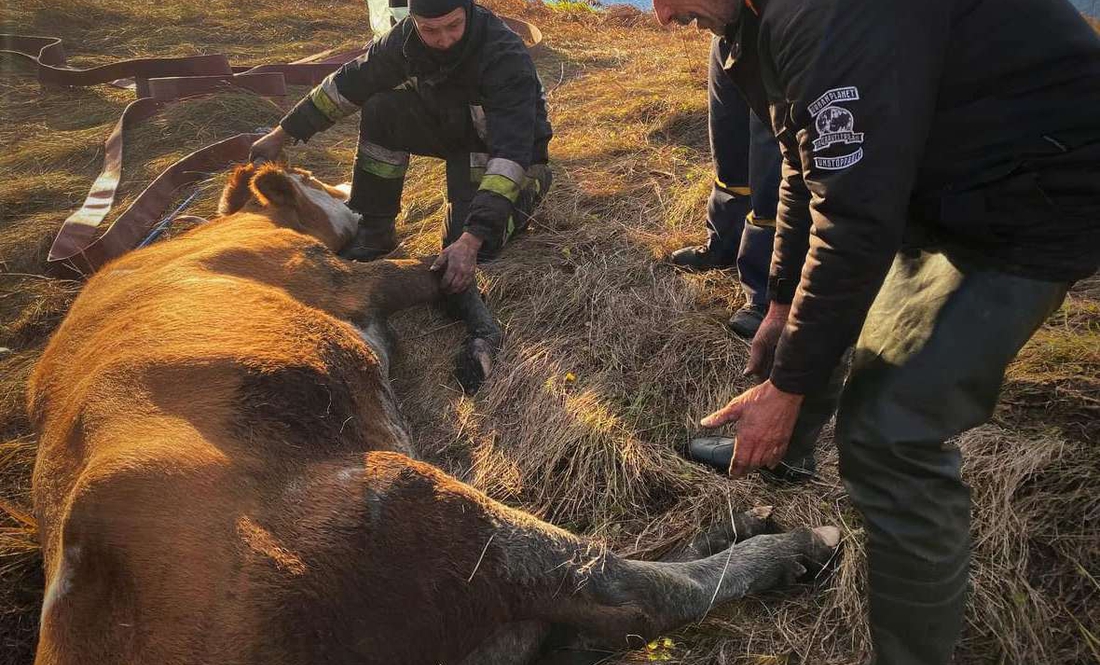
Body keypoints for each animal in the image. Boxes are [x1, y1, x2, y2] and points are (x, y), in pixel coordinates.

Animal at [25, 161, 836, 663]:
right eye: (309, 178)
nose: (350, 187)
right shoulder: (346, 278)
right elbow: (446, 270)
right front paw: (480, 342)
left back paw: (743, 521)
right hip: (419, 500)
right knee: (625, 590)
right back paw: (795, 541)